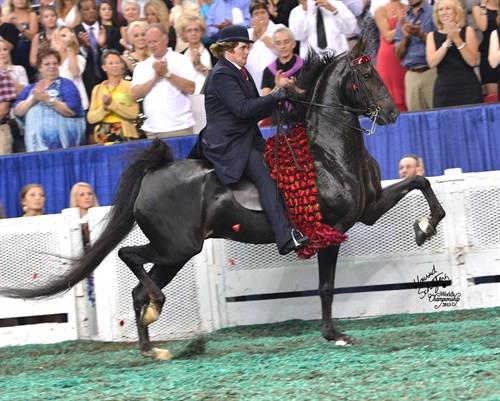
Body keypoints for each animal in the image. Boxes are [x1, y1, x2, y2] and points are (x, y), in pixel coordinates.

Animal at [0, 41, 446, 360]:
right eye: (365, 74)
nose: (391, 113)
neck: (329, 154)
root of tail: (153, 176)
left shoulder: (369, 209)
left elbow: (420, 180)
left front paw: (425, 229)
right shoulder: (331, 229)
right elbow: (326, 287)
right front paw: (334, 334)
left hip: (174, 253)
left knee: (139, 290)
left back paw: (152, 346)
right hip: (178, 246)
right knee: (130, 257)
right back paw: (156, 315)